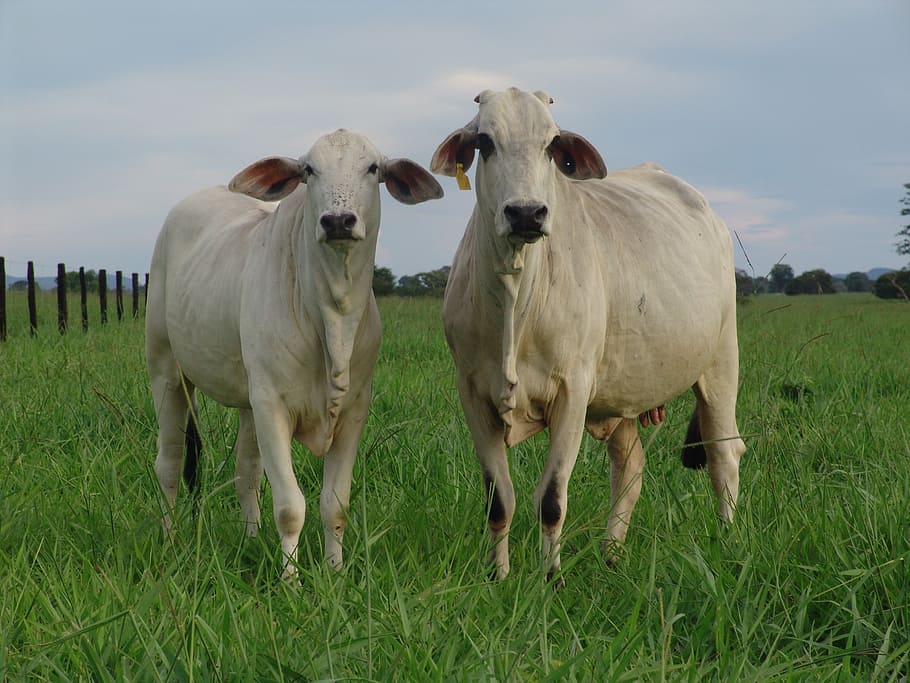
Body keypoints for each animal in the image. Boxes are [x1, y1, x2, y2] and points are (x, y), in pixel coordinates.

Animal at [146, 129, 443, 580]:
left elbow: (334, 503)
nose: (338, 221)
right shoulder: (273, 405)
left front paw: (335, 572)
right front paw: (292, 581)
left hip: (246, 398)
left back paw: (251, 540)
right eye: (309, 169)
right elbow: (290, 507)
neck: (333, 317)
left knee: (246, 471)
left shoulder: (353, 410)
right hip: (166, 370)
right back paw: (169, 541)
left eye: (373, 167)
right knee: (169, 462)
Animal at [430, 88, 746, 581]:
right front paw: (498, 576)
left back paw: (727, 542)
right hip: (624, 392)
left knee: (724, 457)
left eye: (551, 144)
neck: (516, 299)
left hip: (720, 364)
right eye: (484, 142)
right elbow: (499, 501)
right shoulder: (473, 393)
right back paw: (611, 554)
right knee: (630, 468)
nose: (526, 213)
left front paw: (550, 579)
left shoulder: (572, 393)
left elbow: (551, 499)